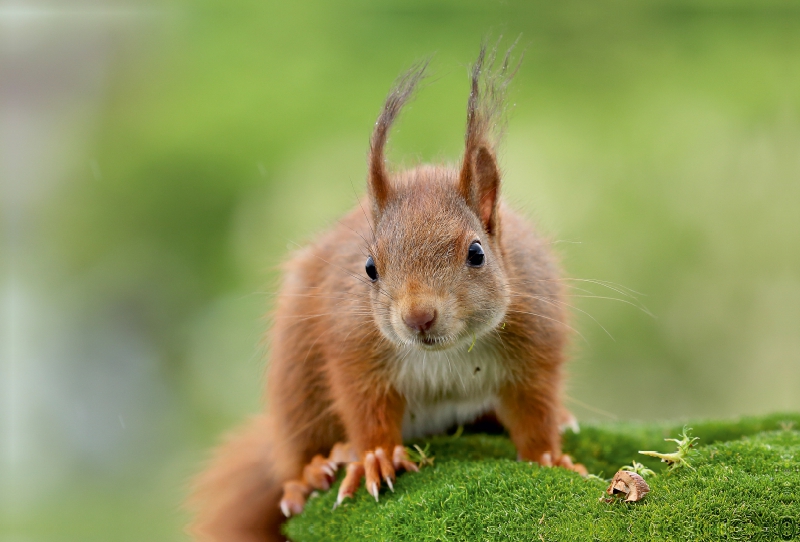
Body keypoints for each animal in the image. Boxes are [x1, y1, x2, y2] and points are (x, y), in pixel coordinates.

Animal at [188, 44, 588, 542]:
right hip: (295, 378)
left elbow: (535, 408)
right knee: (297, 445)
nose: (418, 317)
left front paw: (549, 455)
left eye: (477, 252)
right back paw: (311, 472)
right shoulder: (354, 346)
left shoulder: (535, 340)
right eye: (369, 268)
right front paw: (374, 458)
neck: (446, 354)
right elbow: (365, 408)